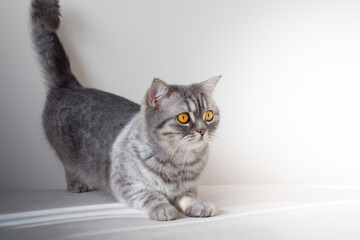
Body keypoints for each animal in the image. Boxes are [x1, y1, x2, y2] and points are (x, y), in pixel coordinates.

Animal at [31, 0, 221, 221]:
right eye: (183, 117)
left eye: (208, 115)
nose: (202, 130)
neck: (180, 161)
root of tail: (70, 85)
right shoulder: (127, 183)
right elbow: (150, 194)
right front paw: (163, 207)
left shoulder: (189, 187)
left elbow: (188, 196)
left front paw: (198, 204)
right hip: (66, 154)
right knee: (69, 168)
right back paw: (77, 183)